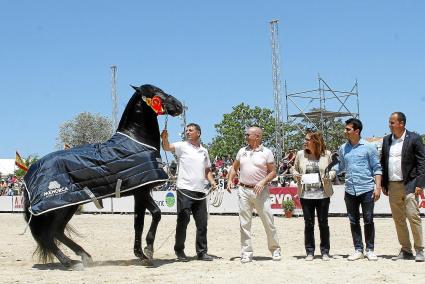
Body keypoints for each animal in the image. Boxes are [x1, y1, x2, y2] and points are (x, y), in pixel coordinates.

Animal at [23, 83, 182, 270]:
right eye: (156, 93)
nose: (179, 105)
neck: (137, 141)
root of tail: (30, 172)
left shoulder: (138, 193)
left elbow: (138, 223)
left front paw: (141, 255)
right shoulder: (142, 192)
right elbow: (156, 214)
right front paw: (148, 251)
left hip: (69, 205)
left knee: (57, 232)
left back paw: (84, 257)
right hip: (59, 207)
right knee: (49, 234)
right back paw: (69, 262)